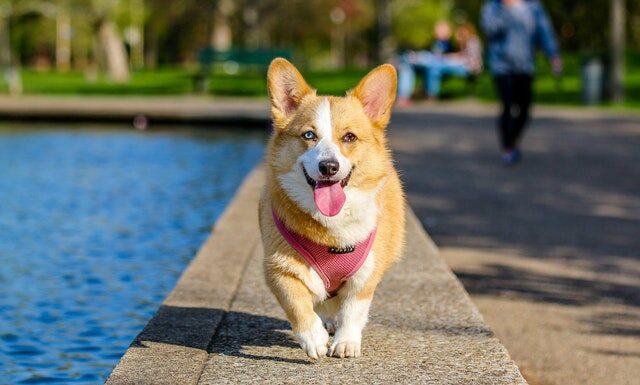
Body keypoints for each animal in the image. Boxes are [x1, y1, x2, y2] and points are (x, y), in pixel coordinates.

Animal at [256, 58, 402, 358]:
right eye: (309, 135)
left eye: (349, 137)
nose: (329, 167)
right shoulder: (278, 268)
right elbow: (297, 304)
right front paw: (313, 339)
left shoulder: (365, 275)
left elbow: (353, 311)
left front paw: (346, 343)